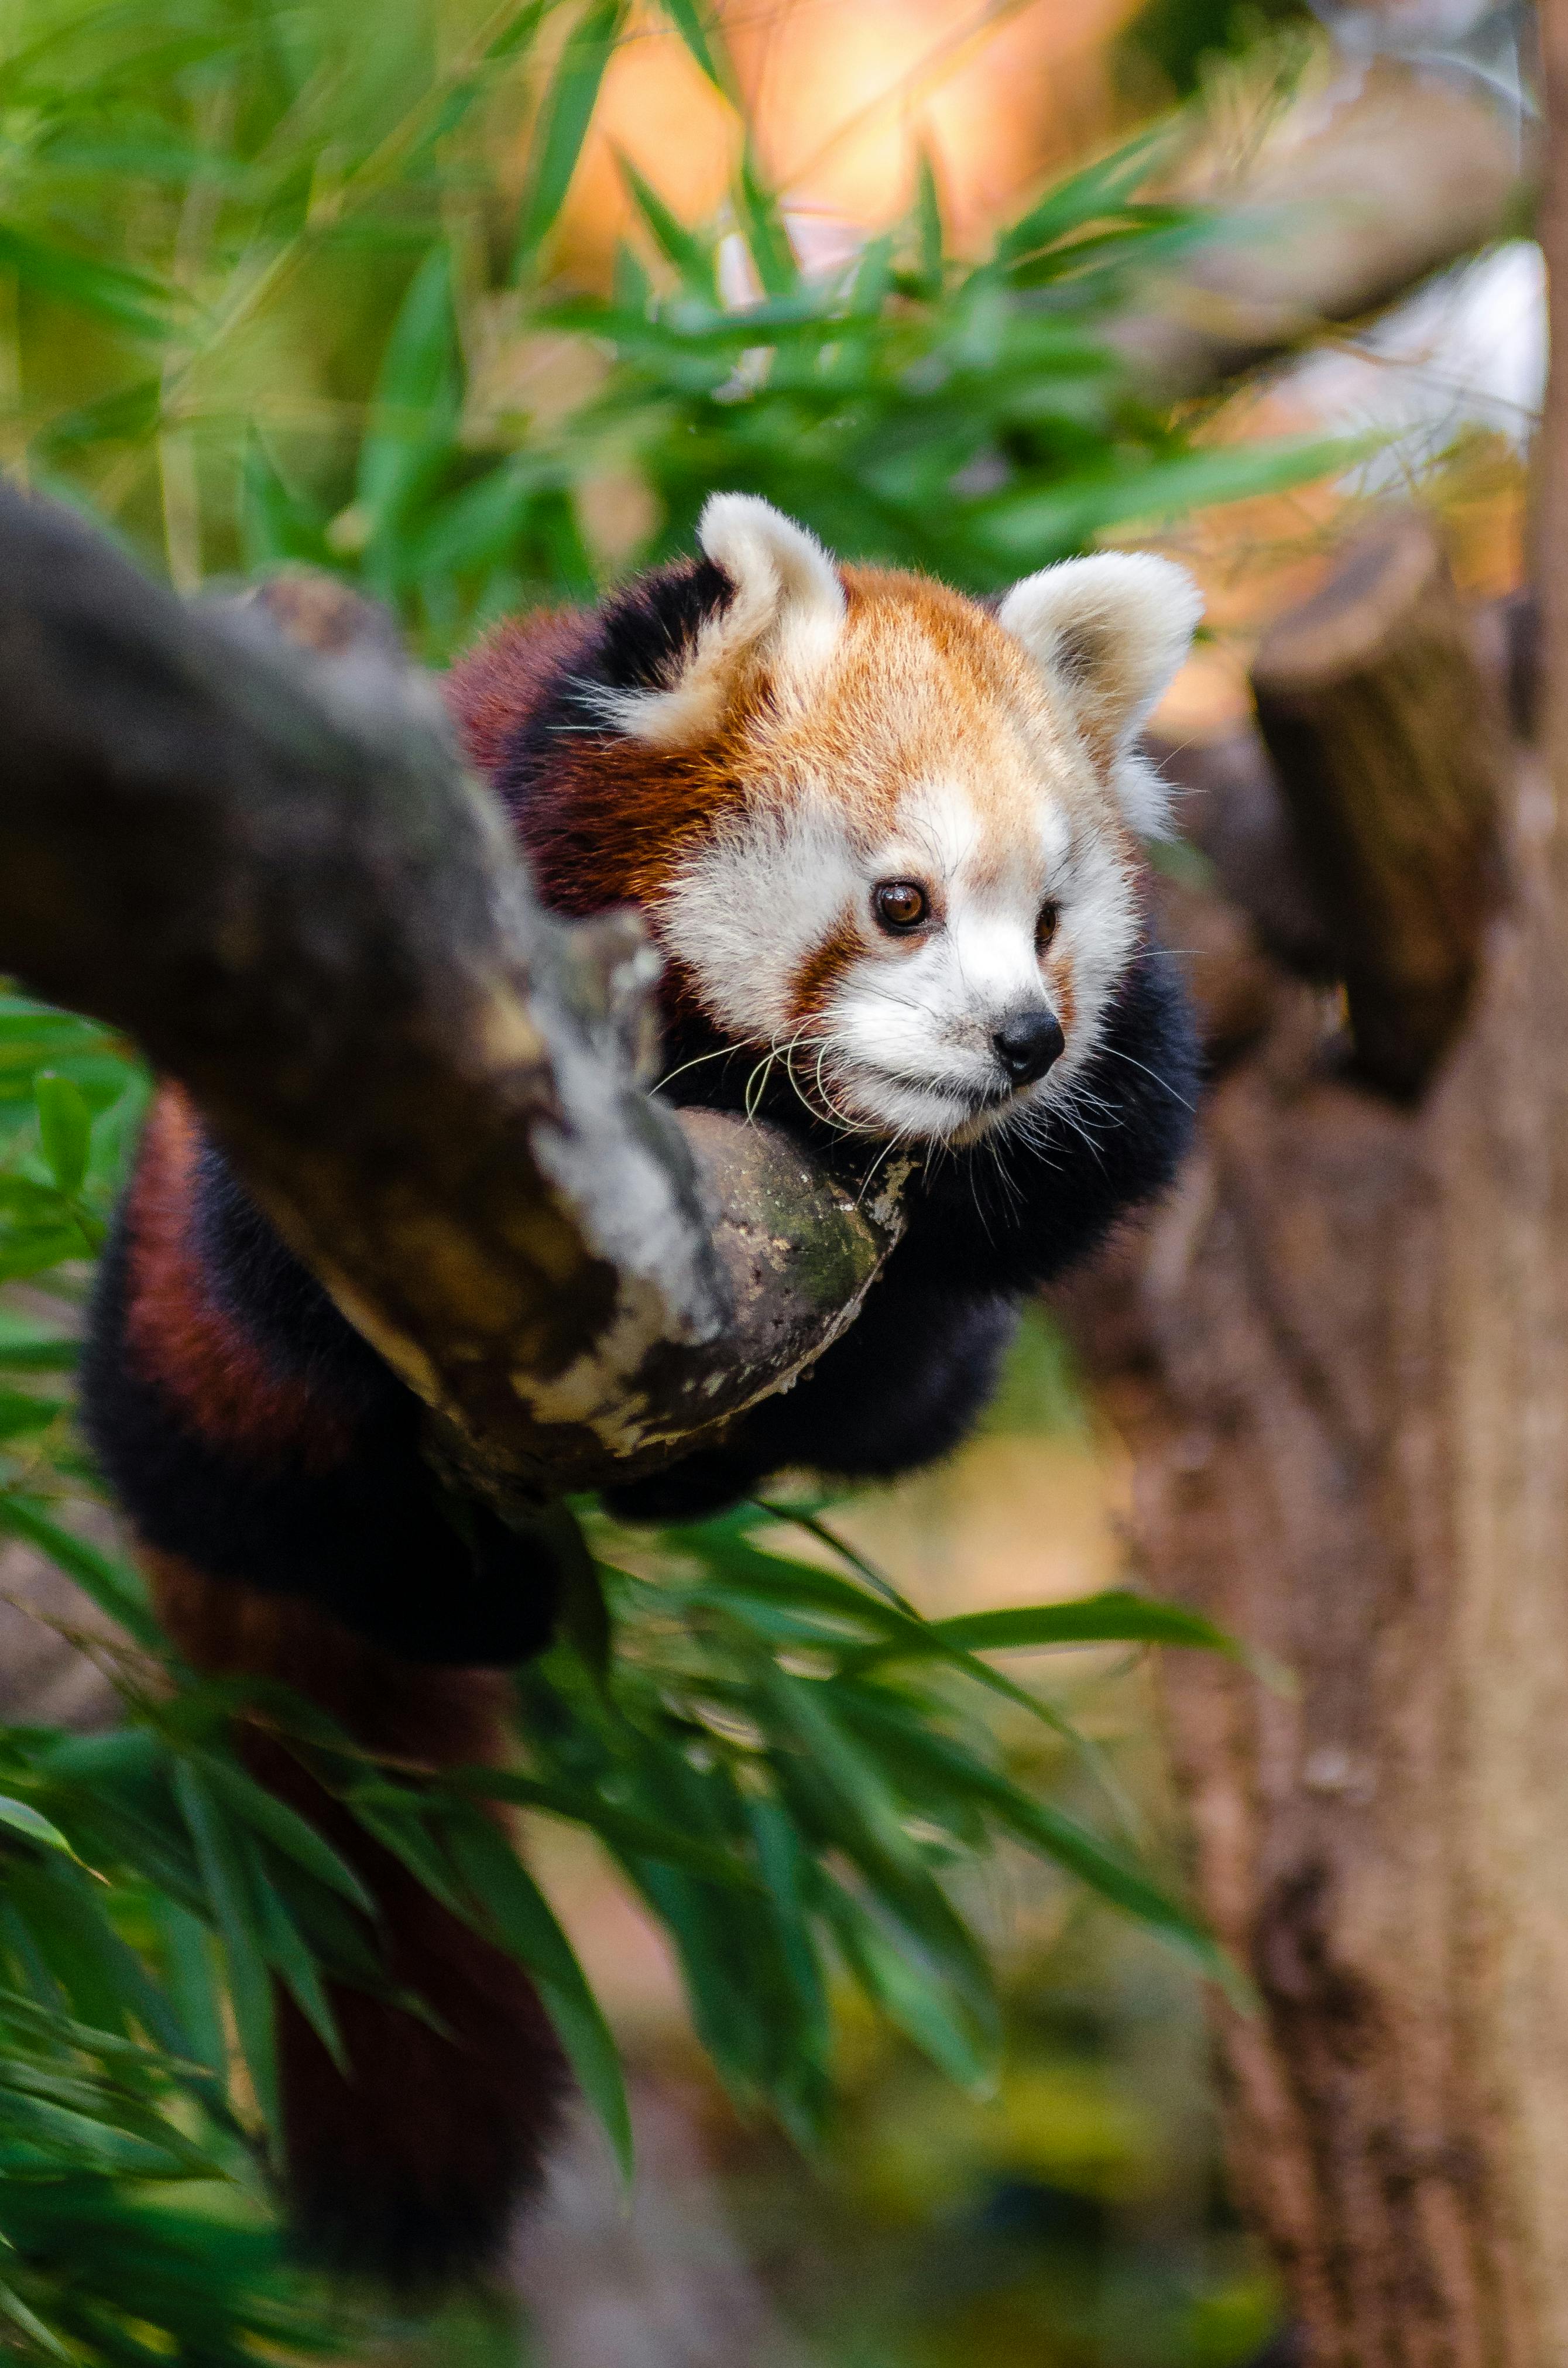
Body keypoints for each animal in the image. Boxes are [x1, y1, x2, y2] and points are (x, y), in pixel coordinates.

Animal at [77, 490, 1203, 2283]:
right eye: (899, 902)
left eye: (1046, 922)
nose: (1023, 1037)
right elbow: (312, 1269)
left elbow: (1081, 1169)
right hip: (185, 1358)